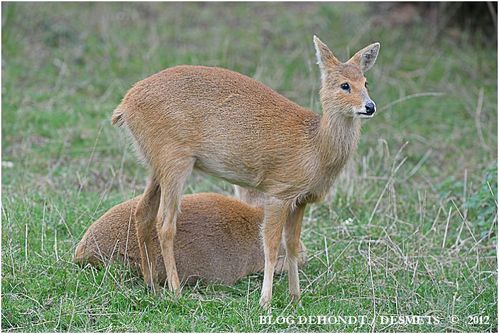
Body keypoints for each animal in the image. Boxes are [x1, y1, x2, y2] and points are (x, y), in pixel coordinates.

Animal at [111, 35, 380, 306]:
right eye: (345, 85)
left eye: (366, 82)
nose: (370, 106)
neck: (316, 146)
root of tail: (125, 105)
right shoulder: (279, 192)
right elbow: (271, 246)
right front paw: (265, 301)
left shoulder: (301, 199)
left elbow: (292, 245)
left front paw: (295, 297)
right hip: (174, 160)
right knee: (165, 223)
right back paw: (175, 291)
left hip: (156, 164)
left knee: (142, 212)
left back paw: (152, 285)